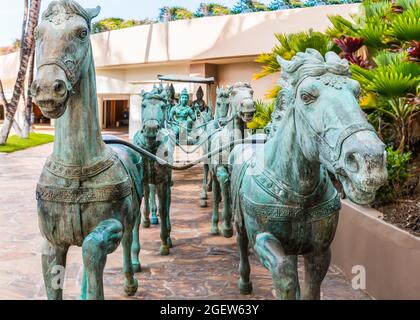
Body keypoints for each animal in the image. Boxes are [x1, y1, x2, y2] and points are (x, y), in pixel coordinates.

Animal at [31, 0, 143, 300]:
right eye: (37, 34)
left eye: (82, 33)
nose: (48, 90)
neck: (77, 167)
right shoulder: (52, 241)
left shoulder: (112, 227)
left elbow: (93, 251)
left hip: (132, 218)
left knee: (128, 239)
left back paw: (130, 282)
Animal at [230, 48, 388, 298]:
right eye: (306, 97)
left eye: (357, 91)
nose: (370, 159)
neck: (298, 189)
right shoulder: (262, 238)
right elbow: (284, 273)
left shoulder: (320, 250)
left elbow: (310, 287)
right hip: (240, 223)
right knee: (241, 243)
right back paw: (244, 283)